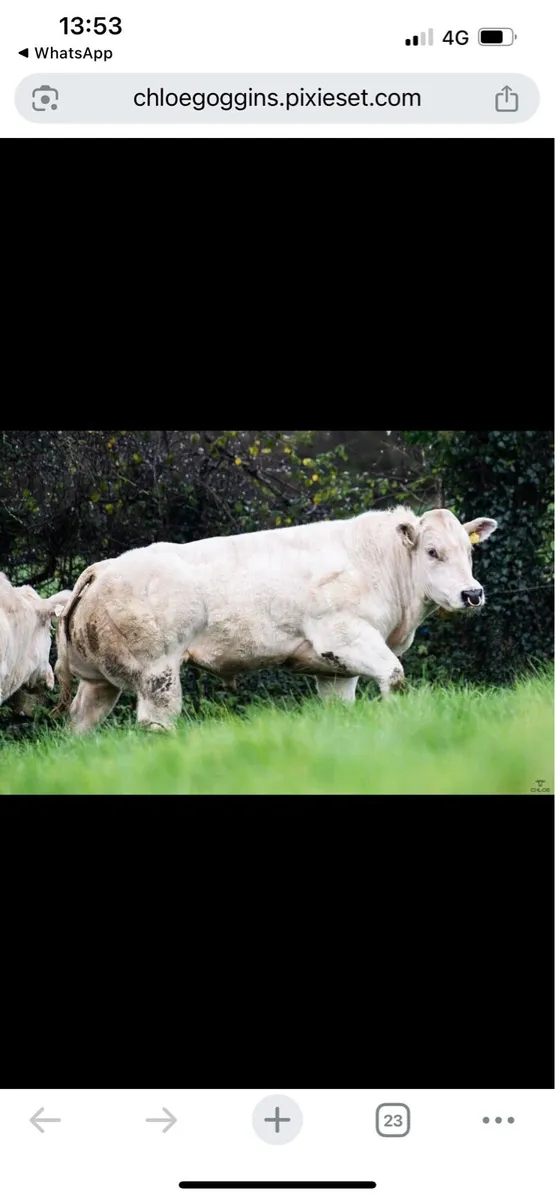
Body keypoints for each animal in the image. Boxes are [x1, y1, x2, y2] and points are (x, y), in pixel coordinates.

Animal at [53, 505, 497, 735]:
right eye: (433, 552)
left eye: (468, 550)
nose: (472, 594)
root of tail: (103, 567)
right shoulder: (345, 635)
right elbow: (395, 677)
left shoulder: (335, 670)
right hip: (156, 674)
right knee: (156, 723)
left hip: (100, 683)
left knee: (80, 722)